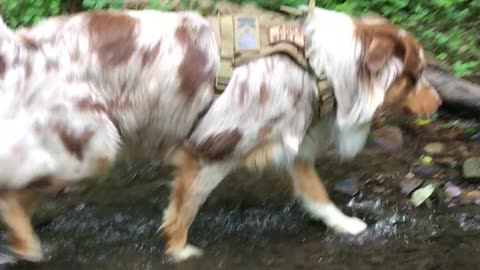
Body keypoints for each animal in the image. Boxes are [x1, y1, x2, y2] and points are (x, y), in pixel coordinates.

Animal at [0, 2, 440, 264]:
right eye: (416, 77)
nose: (437, 104)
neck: (320, 68)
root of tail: (22, 46)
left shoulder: (291, 144)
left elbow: (318, 196)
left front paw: (347, 226)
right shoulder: (213, 148)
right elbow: (185, 208)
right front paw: (179, 252)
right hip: (92, 147)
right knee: (11, 192)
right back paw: (29, 247)